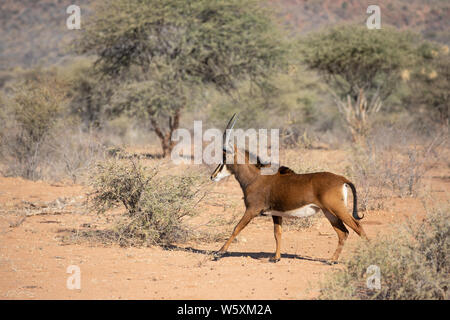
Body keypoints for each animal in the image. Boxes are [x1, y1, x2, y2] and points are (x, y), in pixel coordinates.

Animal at [209, 114, 368, 262]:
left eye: (224, 158)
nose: (212, 176)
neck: (255, 178)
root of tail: (342, 179)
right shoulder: (275, 213)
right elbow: (277, 234)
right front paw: (276, 257)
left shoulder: (251, 210)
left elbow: (236, 228)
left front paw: (219, 252)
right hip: (329, 212)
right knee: (343, 232)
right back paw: (332, 260)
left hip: (337, 209)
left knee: (358, 227)